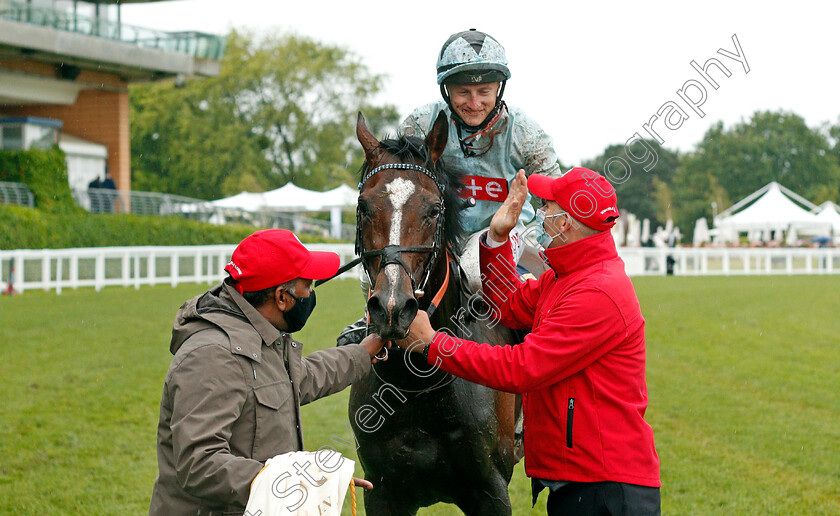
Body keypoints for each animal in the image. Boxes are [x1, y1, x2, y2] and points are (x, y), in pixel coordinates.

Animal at [346, 113, 520, 516]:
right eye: (363, 206)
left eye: (434, 209)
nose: (392, 307)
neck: (416, 385)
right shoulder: (382, 491)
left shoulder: (491, 491)